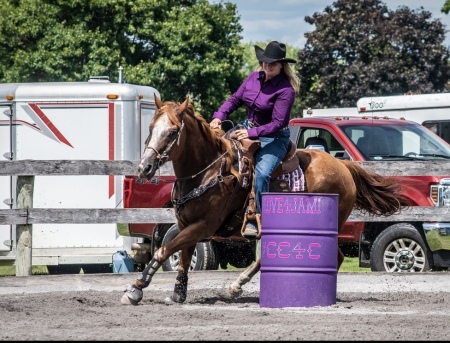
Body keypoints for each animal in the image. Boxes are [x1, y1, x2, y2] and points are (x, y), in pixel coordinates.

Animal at [119, 95, 404, 306]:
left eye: (172, 132)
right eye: (151, 129)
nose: (144, 167)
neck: (206, 171)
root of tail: (343, 165)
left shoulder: (203, 226)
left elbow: (163, 250)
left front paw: (136, 288)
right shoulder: (185, 224)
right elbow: (183, 257)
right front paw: (178, 293)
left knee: (334, 257)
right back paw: (239, 284)